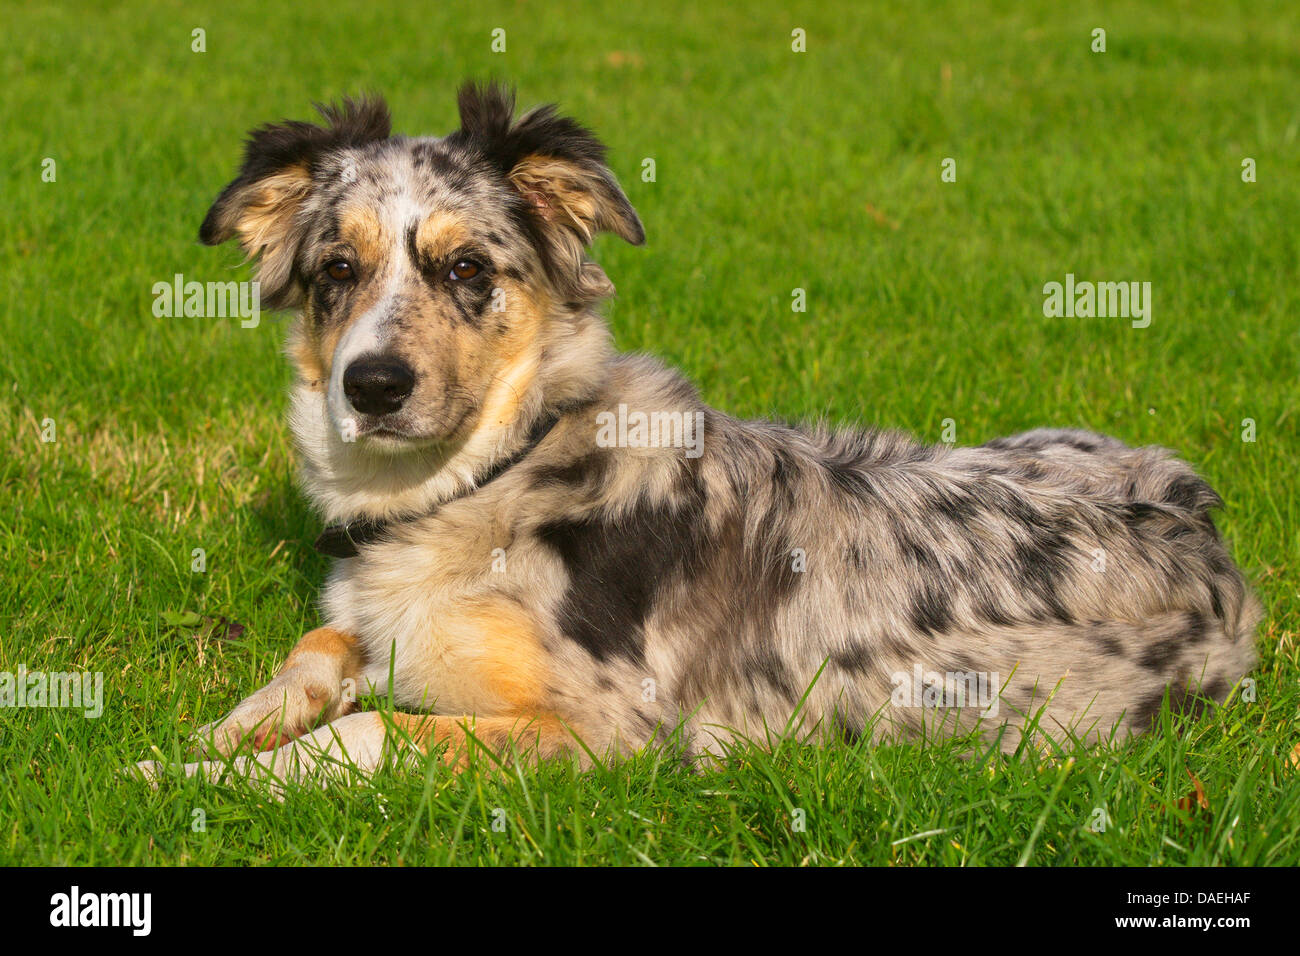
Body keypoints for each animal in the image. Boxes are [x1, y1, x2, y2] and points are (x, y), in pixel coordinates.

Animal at [134, 82, 1258, 785]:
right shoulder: (371, 624)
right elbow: (318, 647)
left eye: (466, 269)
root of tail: (1203, 519)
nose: (371, 385)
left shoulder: (607, 729)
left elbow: (372, 728)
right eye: (337, 270)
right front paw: (209, 738)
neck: (483, 478)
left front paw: (199, 775)